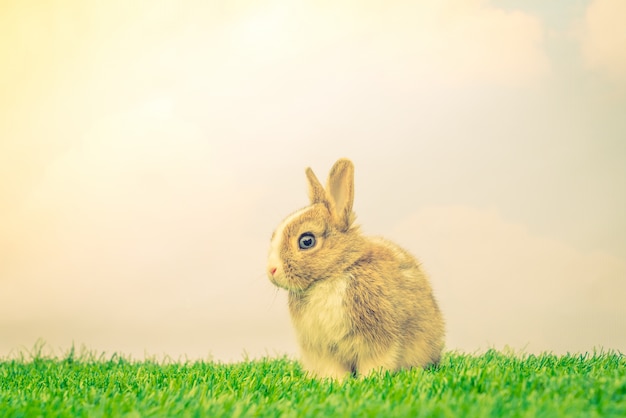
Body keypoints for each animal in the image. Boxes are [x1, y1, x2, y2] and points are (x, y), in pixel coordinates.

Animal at [266, 158, 442, 378]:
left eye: (307, 241)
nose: (271, 270)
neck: (333, 274)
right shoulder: (323, 349)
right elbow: (333, 370)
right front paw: (335, 382)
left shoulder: (378, 338)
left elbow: (376, 362)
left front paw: (369, 380)